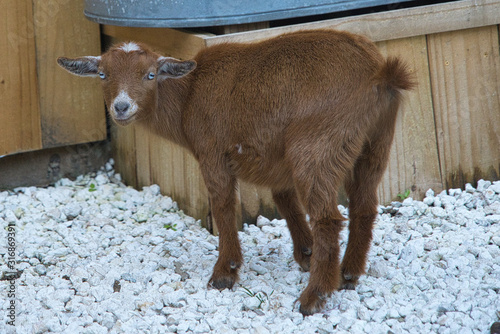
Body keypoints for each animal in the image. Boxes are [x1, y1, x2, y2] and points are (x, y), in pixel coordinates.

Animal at [57, 29, 414, 316]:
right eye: (102, 74)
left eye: (150, 75)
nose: (121, 107)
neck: (188, 95)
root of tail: (380, 72)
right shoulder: (273, 159)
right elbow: (284, 200)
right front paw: (305, 253)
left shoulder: (213, 152)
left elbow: (224, 206)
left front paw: (224, 273)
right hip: (375, 143)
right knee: (364, 205)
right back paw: (349, 274)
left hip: (317, 145)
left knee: (328, 217)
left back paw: (314, 296)